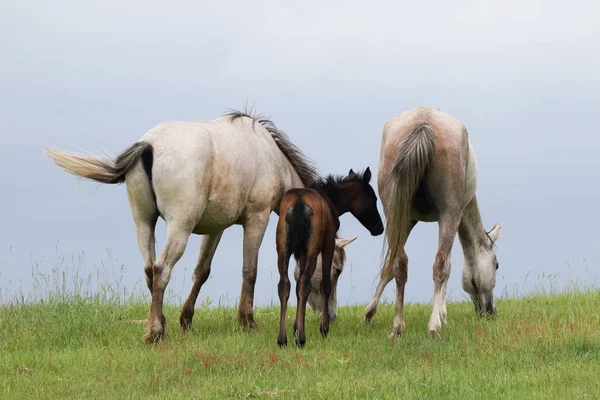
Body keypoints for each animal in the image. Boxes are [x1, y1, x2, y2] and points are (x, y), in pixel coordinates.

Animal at [46, 108, 318, 344]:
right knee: (161, 269)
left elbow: (202, 271)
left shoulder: (215, 228)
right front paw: (247, 321)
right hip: (180, 226)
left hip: (144, 222)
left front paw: (186, 319)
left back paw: (160, 323)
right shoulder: (256, 219)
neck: (270, 155)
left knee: (149, 269)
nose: (322, 314)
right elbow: (249, 271)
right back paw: (155, 333)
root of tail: (150, 145)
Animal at [364, 107, 504, 338]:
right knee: (440, 265)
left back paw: (397, 327)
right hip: (448, 213)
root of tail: (423, 123)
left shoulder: (407, 220)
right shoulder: (455, 217)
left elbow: (389, 267)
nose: (491, 312)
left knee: (400, 262)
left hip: (395, 213)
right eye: (496, 265)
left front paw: (369, 313)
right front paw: (442, 317)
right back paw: (433, 327)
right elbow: (448, 266)